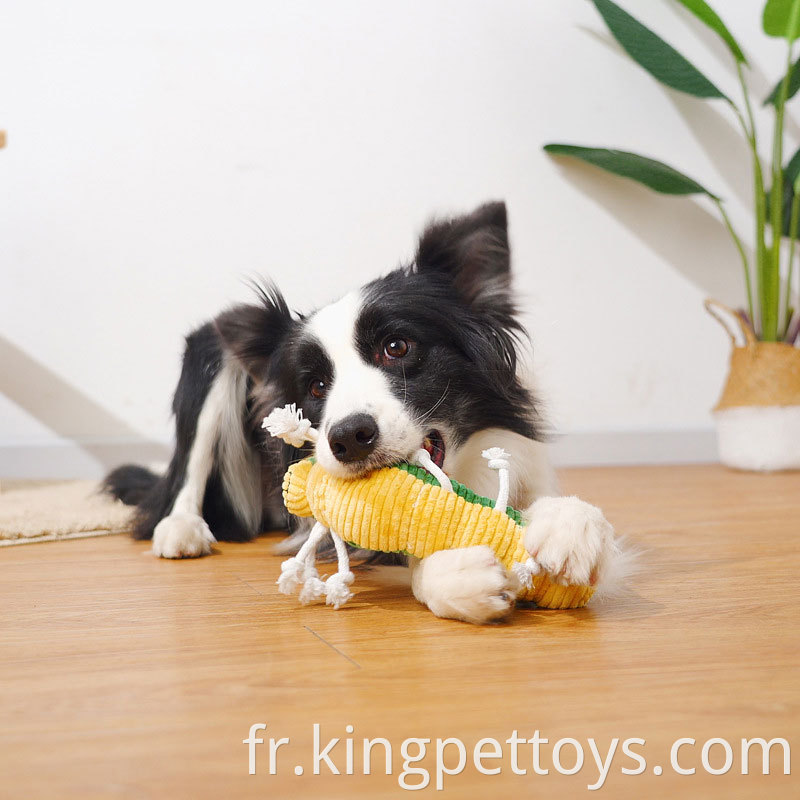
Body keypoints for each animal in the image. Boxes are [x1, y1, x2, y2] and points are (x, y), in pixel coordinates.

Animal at [103, 202, 620, 624]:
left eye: (397, 347)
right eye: (315, 386)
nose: (349, 437)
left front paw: (569, 526)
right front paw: (457, 575)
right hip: (209, 353)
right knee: (189, 467)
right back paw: (181, 529)